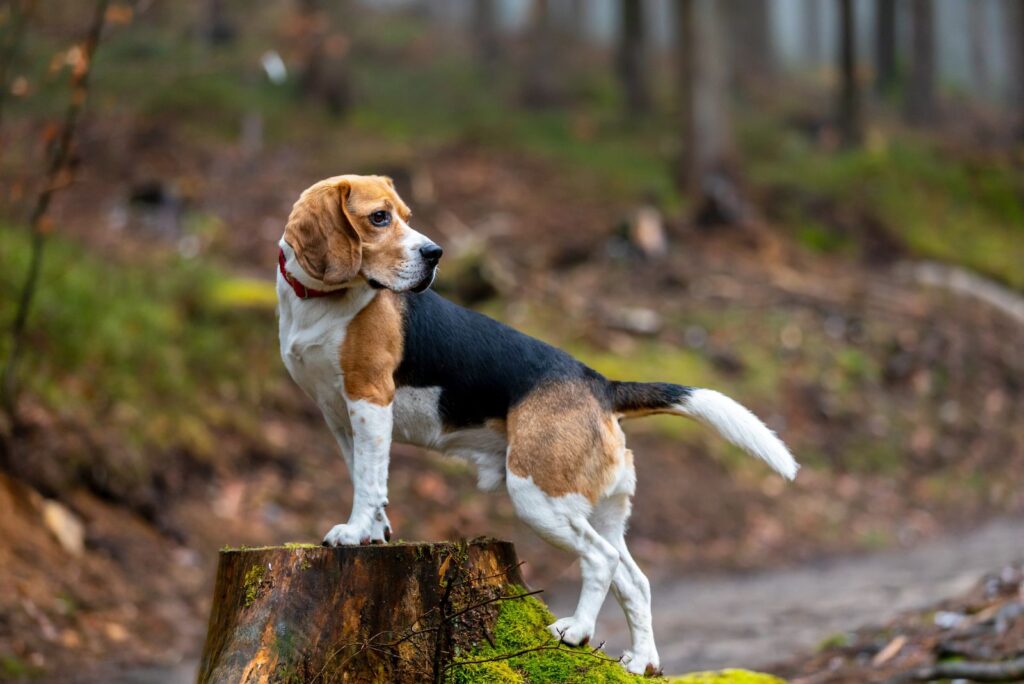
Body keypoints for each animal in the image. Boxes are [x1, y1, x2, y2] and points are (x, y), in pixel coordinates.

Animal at [280, 174, 798, 675]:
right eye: (380, 218)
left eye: (405, 216)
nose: (434, 254)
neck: (319, 302)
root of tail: (601, 384)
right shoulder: (340, 416)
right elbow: (365, 477)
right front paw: (373, 533)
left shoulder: (369, 400)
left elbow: (368, 483)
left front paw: (351, 533)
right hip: (599, 509)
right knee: (635, 579)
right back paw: (641, 661)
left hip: (538, 495)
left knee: (600, 559)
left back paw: (577, 631)